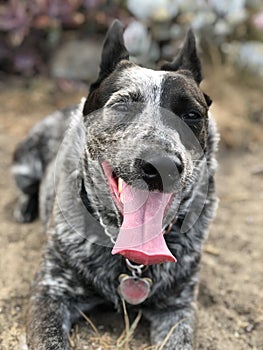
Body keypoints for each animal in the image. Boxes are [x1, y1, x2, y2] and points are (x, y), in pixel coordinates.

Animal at [11, 19, 219, 350]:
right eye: (122, 107)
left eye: (192, 115)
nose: (162, 165)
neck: (133, 259)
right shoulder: (49, 292)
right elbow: (51, 339)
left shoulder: (178, 309)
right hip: (25, 164)